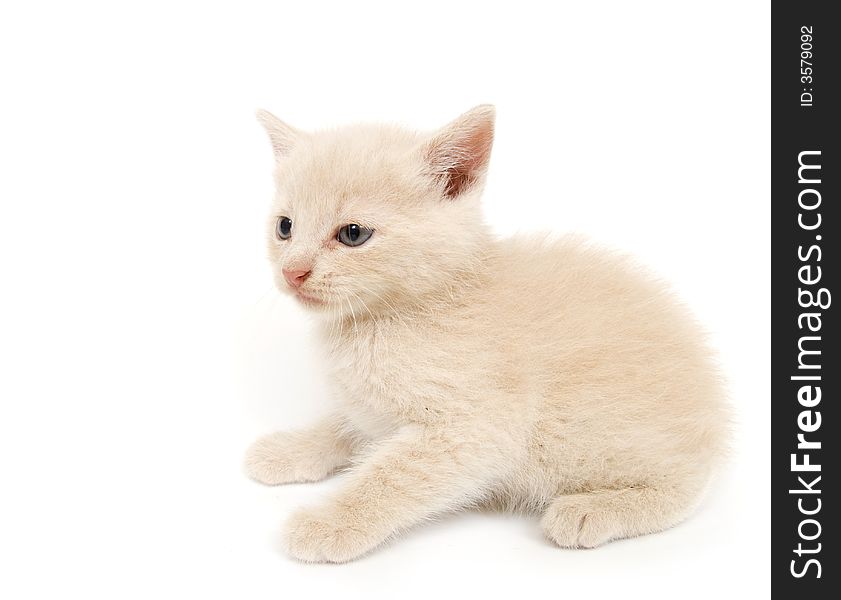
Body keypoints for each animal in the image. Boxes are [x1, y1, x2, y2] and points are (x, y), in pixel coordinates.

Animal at [243, 106, 728, 564]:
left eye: (353, 234)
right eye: (284, 227)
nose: (292, 272)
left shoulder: (476, 428)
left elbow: (391, 475)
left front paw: (329, 524)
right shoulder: (370, 409)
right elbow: (344, 426)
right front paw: (291, 449)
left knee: (686, 486)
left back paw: (590, 511)